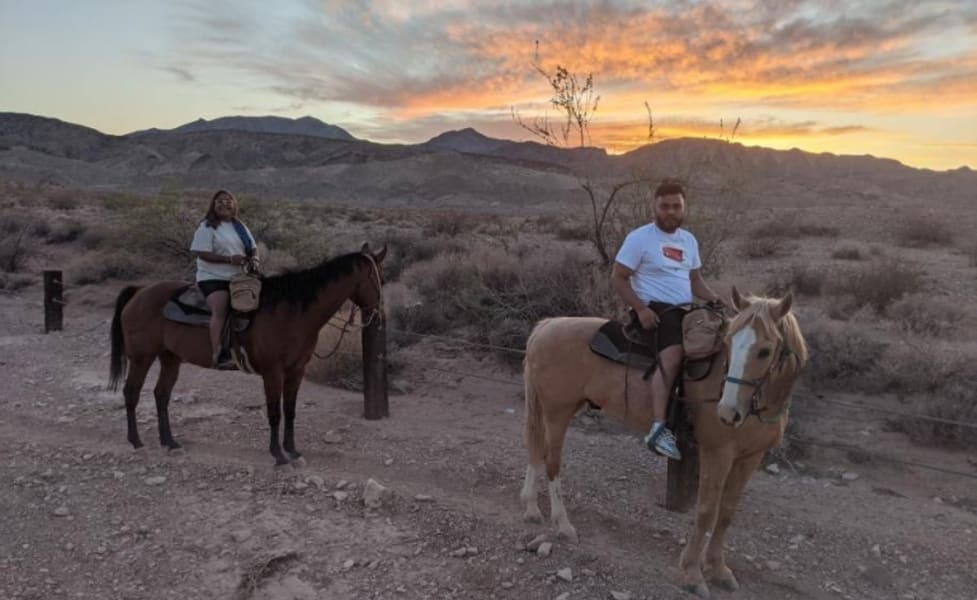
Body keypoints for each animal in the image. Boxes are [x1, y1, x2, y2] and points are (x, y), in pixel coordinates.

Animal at [110, 246, 386, 466]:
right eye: (379, 280)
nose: (379, 315)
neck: (292, 312)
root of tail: (139, 291)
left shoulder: (296, 369)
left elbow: (290, 410)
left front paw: (293, 451)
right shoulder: (273, 372)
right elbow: (274, 412)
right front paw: (278, 455)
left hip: (170, 358)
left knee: (161, 395)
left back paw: (170, 442)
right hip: (142, 357)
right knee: (132, 393)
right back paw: (136, 441)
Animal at [524, 288, 804, 596]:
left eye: (765, 350)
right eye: (729, 342)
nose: (728, 412)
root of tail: (547, 325)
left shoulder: (750, 457)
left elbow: (727, 513)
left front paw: (718, 569)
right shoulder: (717, 453)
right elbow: (707, 511)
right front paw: (693, 573)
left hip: (554, 409)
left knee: (535, 451)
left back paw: (532, 508)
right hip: (557, 412)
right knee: (551, 462)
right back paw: (563, 524)